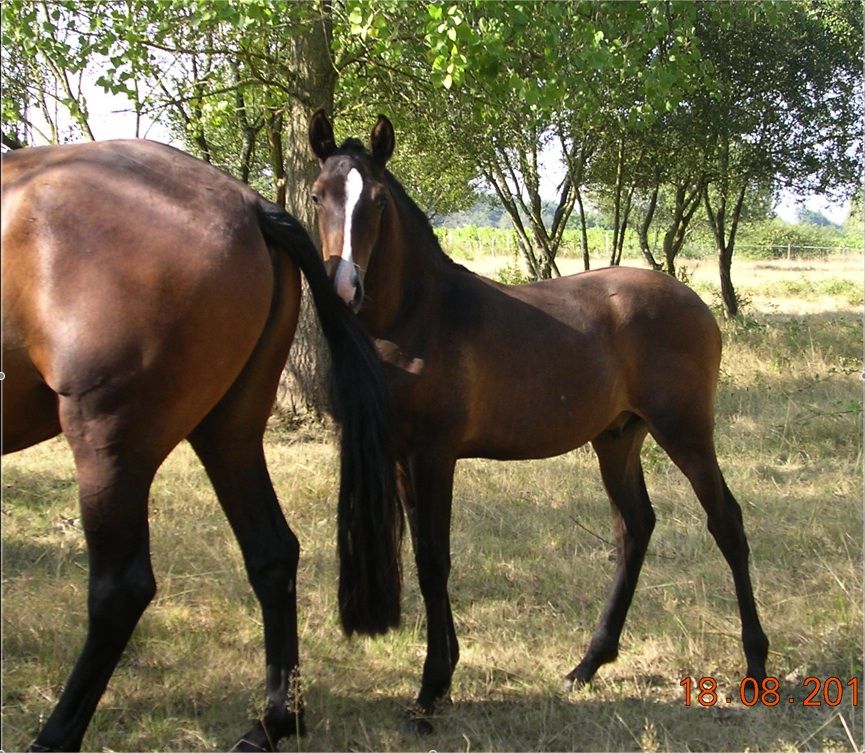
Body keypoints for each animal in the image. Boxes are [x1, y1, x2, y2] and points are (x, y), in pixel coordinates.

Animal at [4, 138, 402, 748]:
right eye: (317, 196)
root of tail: (250, 205)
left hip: (109, 443)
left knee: (121, 588)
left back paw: (57, 734)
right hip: (228, 428)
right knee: (272, 552)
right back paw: (274, 721)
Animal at [308, 111, 768, 728]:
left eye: (377, 201)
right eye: (317, 195)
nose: (345, 288)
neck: (419, 318)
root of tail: (694, 301)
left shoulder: (434, 456)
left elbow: (434, 560)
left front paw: (432, 686)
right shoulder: (402, 457)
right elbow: (427, 558)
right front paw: (445, 671)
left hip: (686, 431)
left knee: (727, 524)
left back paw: (755, 666)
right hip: (617, 438)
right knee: (635, 528)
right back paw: (587, 665)